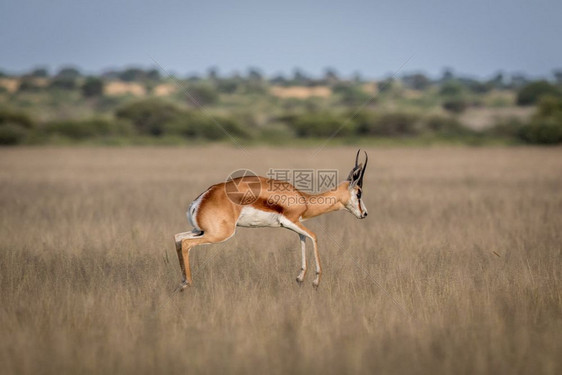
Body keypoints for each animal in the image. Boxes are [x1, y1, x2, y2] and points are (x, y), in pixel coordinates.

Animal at [175, 151, 368, 290]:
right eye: (359, 193)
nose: (364, 213)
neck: (305, 200)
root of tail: (201, 199)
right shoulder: (292, 221)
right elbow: (314, 236)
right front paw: (315, 282)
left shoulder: (293, 225)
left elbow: (303, 238)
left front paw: (300, 278)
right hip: (219, 234)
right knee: (186, 244)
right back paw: (187, 284)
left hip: (199, 231)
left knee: (178, 239)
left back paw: (182, 283)